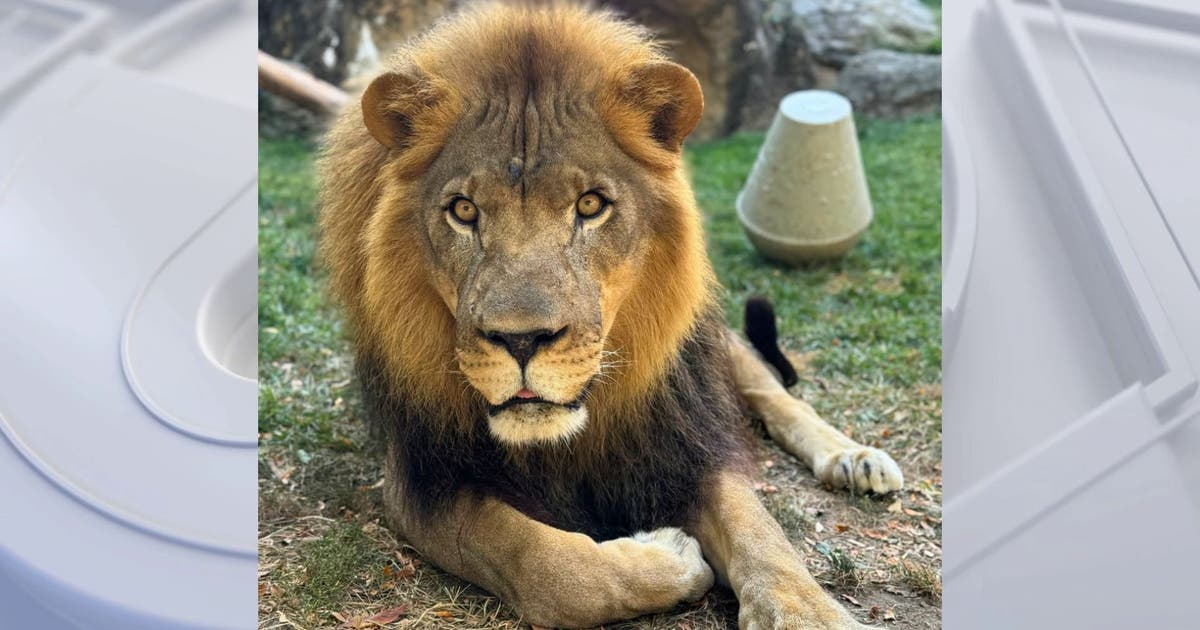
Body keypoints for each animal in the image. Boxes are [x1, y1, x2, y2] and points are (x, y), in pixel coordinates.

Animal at [318, 3, 904, 628]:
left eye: (590, 205)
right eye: (464, 211)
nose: (521, 341)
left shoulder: (682, 441)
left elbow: (761, 533)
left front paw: (808, 610)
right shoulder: (421, 481)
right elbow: (543, 563)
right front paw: (671, 555)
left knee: (773, 391)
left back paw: (854, 458)